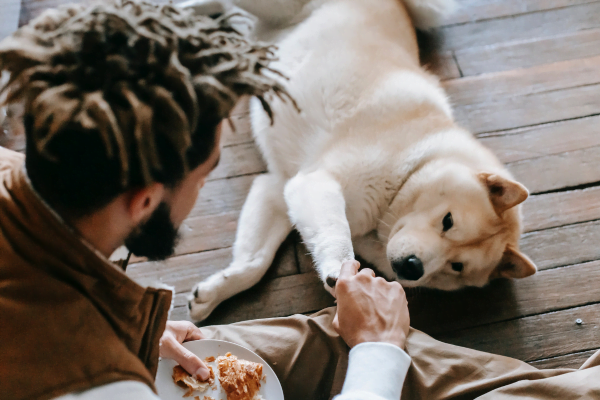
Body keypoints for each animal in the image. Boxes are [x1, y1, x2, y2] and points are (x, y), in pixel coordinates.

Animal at [188, 0, 536, 320]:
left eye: (457, 266)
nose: (413, 268)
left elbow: (254, 262)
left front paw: (213, 293)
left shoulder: (279, 187)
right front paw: (339, 269)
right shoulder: (316, 183)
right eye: (448, 221)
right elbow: (336, 234)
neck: (409, 169)